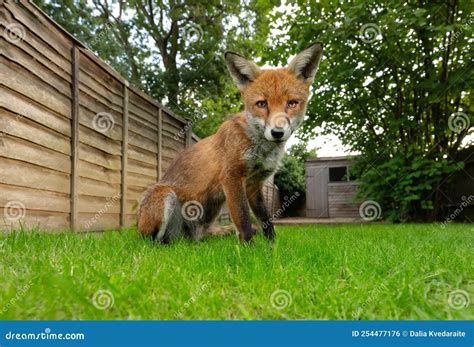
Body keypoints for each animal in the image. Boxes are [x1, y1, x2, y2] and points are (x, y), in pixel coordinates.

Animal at [137, 43, 322, 243]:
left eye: (292, 103)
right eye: (262, 104)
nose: (277, 132)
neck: (260, 148)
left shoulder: (254, 184)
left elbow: (266, 220)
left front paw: (272, 246)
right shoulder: (231, 176)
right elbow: (243, 219)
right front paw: (250, 248)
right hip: (165, 197)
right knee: (152, 242)